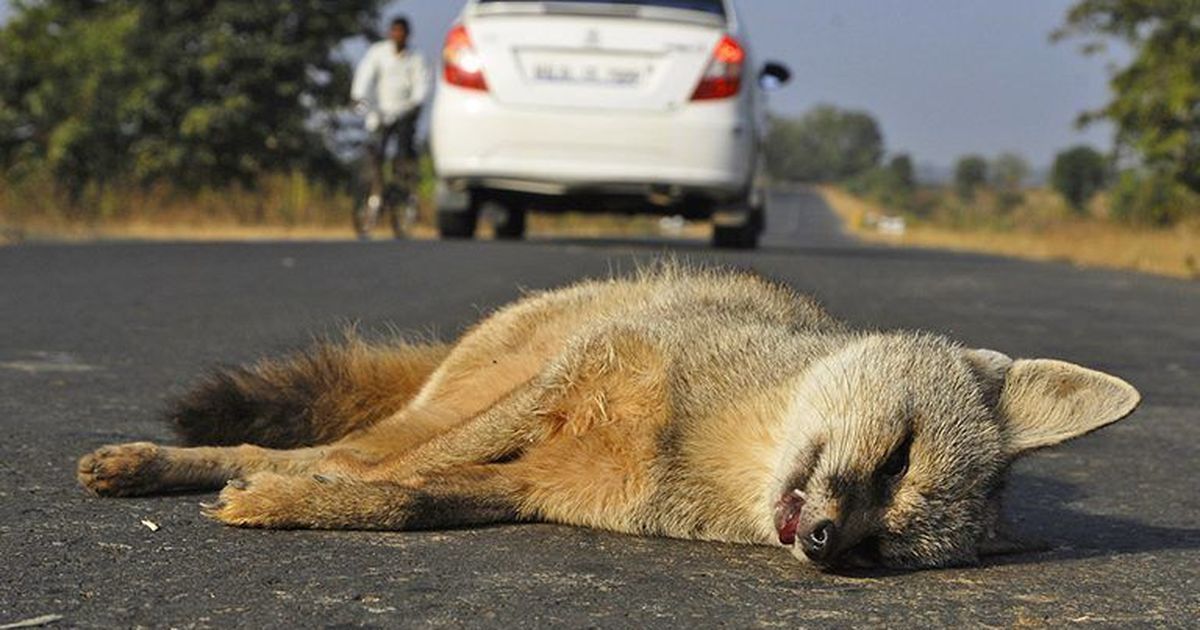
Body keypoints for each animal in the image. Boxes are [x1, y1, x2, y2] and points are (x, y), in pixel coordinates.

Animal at [79, 262, 1137, 566]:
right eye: (897, 459)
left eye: (885, 550)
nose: (828, 543)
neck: (697, 442)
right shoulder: (563, 386)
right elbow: (379, 474)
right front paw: (296, 490)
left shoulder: (533, 491)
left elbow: (405, 502)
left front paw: (302, 504)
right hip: (478, 384)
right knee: (339, 437)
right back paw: (160, 463)